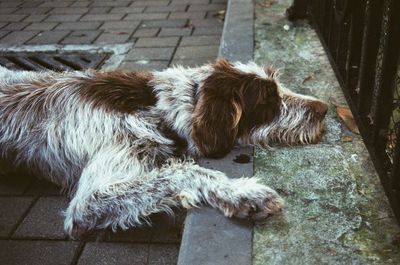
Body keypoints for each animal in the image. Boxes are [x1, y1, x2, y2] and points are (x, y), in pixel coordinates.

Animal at [0, 58, 328, 236]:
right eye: (268, 100)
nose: (325, 108)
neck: (158, 105)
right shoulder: (89, 203)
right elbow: (181, 171)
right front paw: (241, 192)